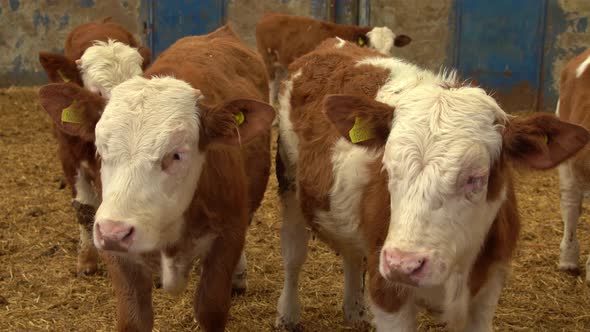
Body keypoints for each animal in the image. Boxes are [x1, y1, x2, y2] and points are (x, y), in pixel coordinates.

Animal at [256, 12, 414, 104]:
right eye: (372, 46)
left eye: (391, 48)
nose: (384, 58)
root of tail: (270, 15)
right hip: (267, 58)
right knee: (271, 85)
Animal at [278, 38, 590, 330]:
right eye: (388, 169)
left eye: (476, 177)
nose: (403, 264)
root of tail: (336, 42)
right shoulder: (387, 291)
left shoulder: (489, 289)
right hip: (289, 185)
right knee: (293, 256)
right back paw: (287, 313)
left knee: (351, 253)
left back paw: (354, 310)